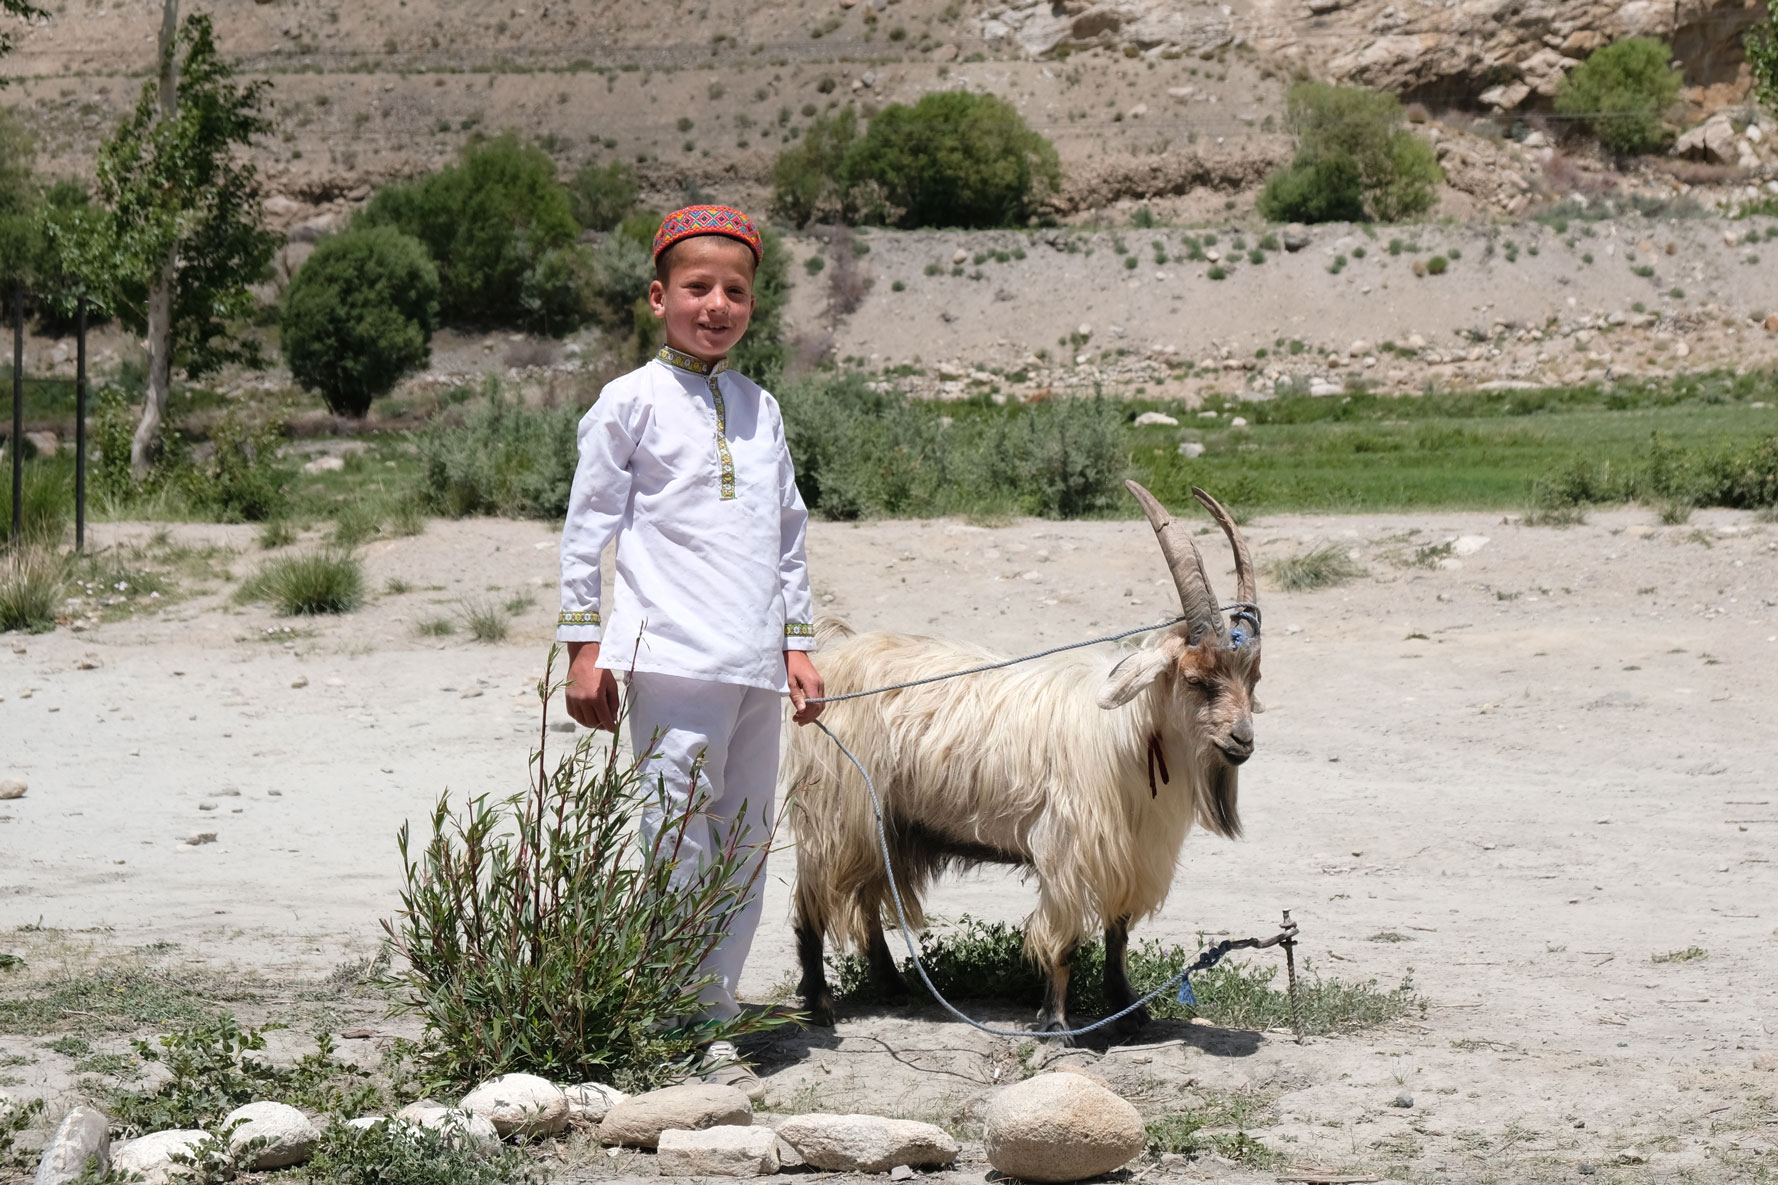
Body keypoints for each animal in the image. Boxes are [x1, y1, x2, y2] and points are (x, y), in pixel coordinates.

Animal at [782, 480, 1265, 1031]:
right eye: (1196, 680)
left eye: (1253, 679)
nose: (1243, 740)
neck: (1126, 735)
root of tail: (833, 656)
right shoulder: (1069, 851)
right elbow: (1064, 941)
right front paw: (1056, 1024)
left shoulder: (1128, 853)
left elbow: (1118, 933)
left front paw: (1126, 1010)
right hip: (835, 812)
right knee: (813, 900)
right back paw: (820, 1004)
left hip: (880, 822)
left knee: (867, 895)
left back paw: (893, 986)